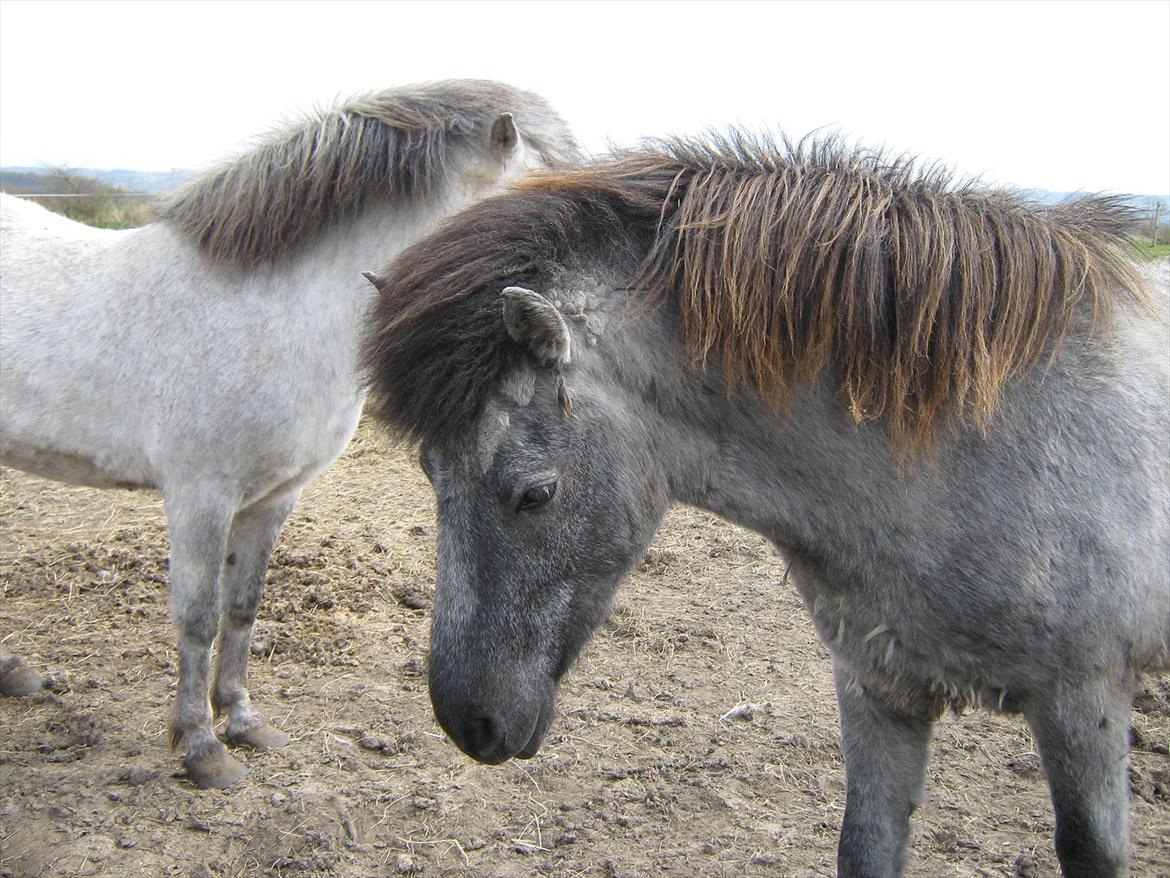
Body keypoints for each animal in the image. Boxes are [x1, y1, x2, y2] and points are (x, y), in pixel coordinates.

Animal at [0, 80, 580, 791]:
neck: (265, 311)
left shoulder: (274, 498)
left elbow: (242, 607)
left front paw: (243, 722)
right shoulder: (200, 498)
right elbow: (197, 617)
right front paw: (201, 747)